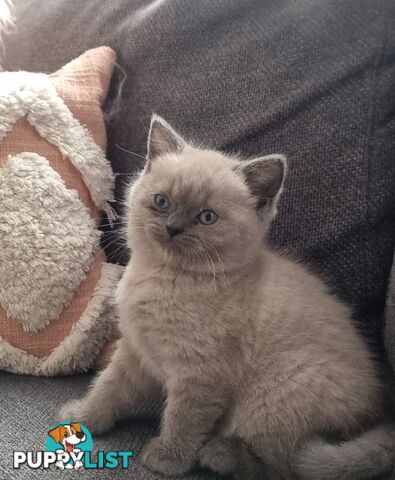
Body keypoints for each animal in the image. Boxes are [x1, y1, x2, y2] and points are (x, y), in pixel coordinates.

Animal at [58, 116, 395, 480]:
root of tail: (376, 415)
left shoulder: (202, 373)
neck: (166, 278)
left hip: (272, 396)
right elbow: (108, 388)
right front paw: (82, 418)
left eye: (207, 217)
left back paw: (220, 454)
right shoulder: (135, 352)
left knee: (284, 463)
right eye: (162, 202)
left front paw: (169, 458)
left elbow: (184, 418)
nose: (174, 227)